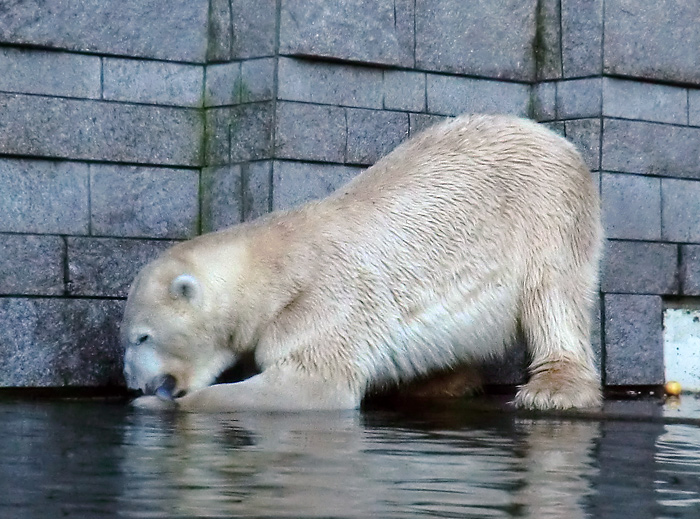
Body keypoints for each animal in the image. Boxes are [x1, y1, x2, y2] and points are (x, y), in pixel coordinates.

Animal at [120, 115, 600, 414]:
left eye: (142, 336)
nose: (131, 380)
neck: (275, 268)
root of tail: (555, 138)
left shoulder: (325, 303)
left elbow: (313, 383)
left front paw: (159, 406)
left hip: (545, 212)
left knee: (553, 296)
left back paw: (552, 389)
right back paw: (440, 383)